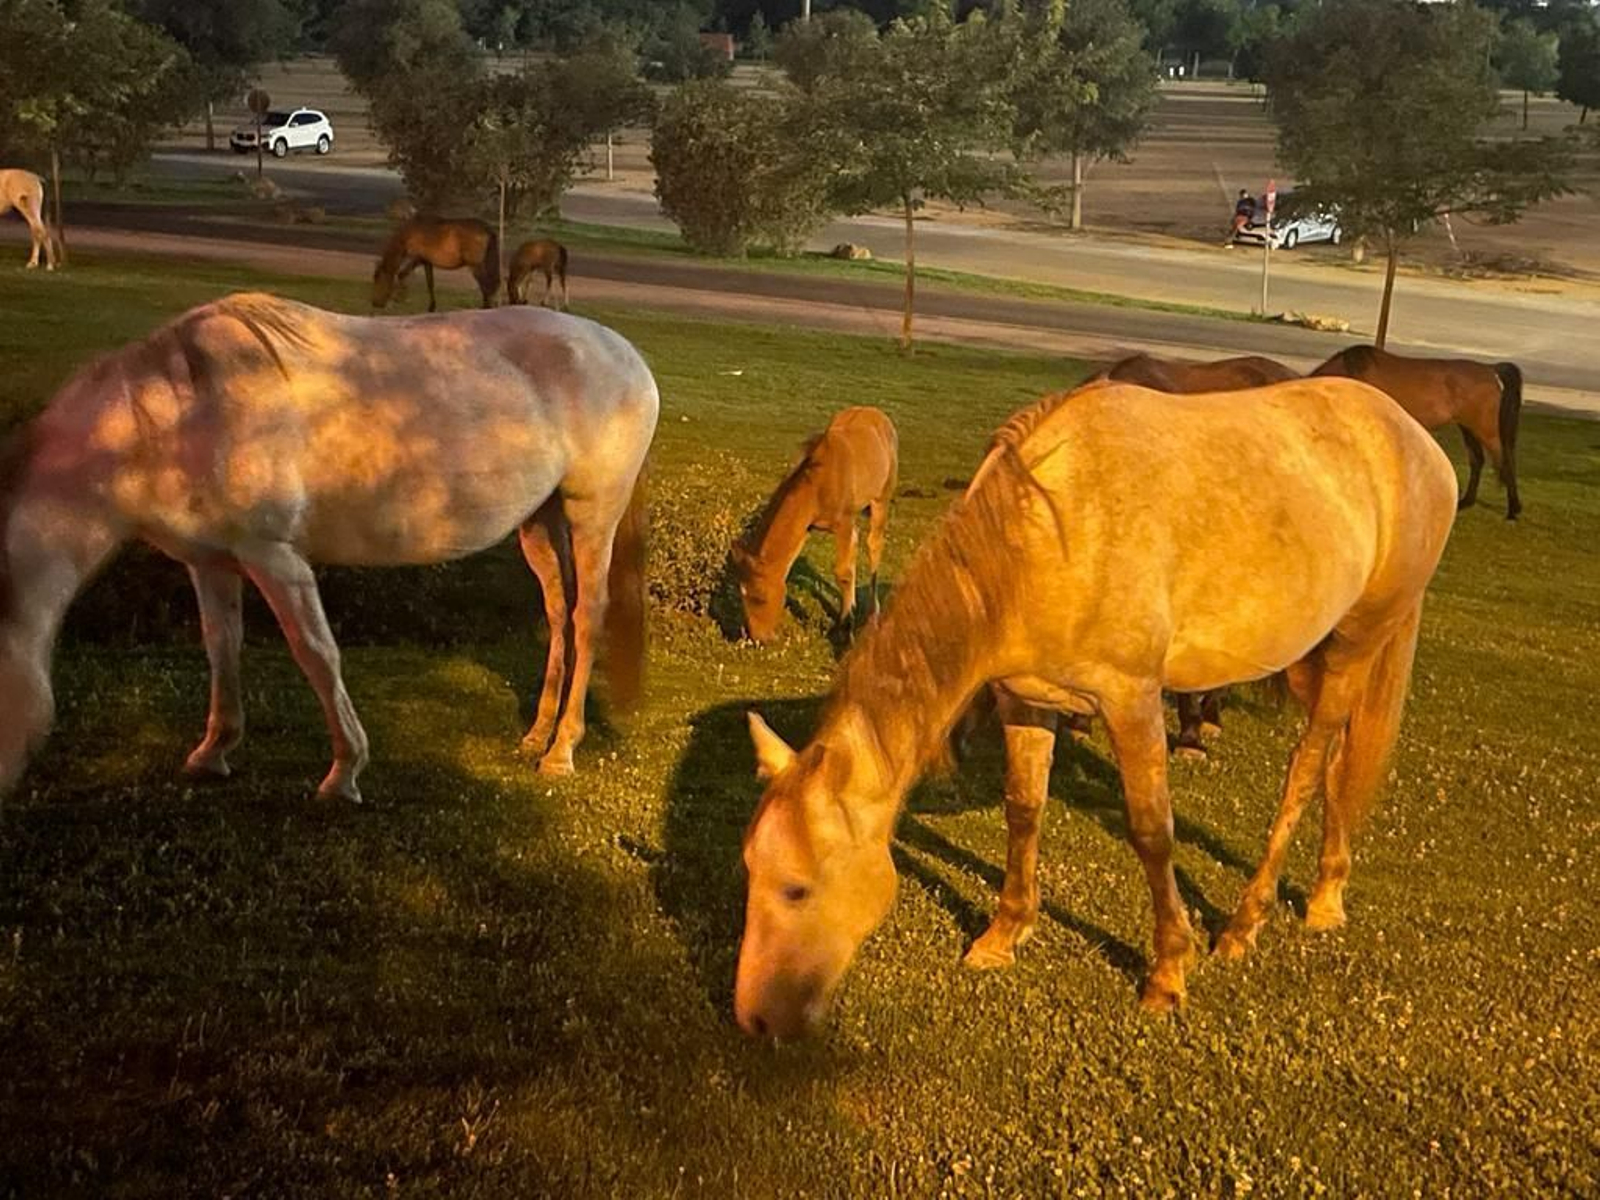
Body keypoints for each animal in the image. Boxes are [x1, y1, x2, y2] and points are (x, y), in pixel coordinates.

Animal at [0, 293, 658, 801]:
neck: (182, 414)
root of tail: (628, 355)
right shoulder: (210, 561)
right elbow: (221, 647)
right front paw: (212, 751)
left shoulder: (275, 557)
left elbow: (316, 653)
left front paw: (344, 774)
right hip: (539, 525)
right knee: (558, 615)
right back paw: (536, 736)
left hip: (590, 515)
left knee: (587, 617)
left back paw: (561, 751)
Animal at [372, 216, 500, 312]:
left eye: (377, 279)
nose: (375, 303)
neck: (411, 232)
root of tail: (486, 228)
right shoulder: (427, 262)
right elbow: (430, 283)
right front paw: (431, 307)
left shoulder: (417, 258)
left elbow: (402, 274)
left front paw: (399, 297)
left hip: (475, 266)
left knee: (486, 285)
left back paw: (485, 308)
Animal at [731, 407, 898, 643]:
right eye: (741, 595)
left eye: (760, 598)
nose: (759, 639)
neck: (818, 483)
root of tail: (877, 413)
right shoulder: (805, 529)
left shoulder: (844, 522)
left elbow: (843, 572)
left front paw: (845, 629)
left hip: (881, 499)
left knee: (874, 544)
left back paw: (873, 614)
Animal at [1312, 344, 1523, 520]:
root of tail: (1490, 369)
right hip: (1468, 428)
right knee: (1477, 460)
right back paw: (1466, 502)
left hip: (1485, 429)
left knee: (1506, 460)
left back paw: (1513, 510)